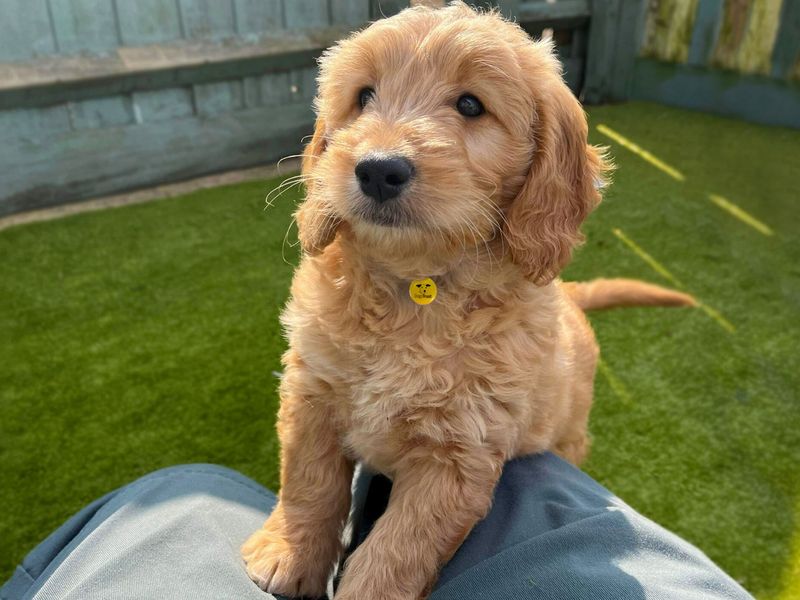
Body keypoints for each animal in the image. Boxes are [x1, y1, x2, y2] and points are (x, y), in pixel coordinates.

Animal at [241, 2, 692, 596]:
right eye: (364, 95)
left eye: (471, 105)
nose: (378, 169)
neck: (414, 289)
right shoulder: (310, 392)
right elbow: (308, 481)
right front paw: (288, 553)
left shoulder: (458, 455)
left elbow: (395, 549)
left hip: (567, 428)